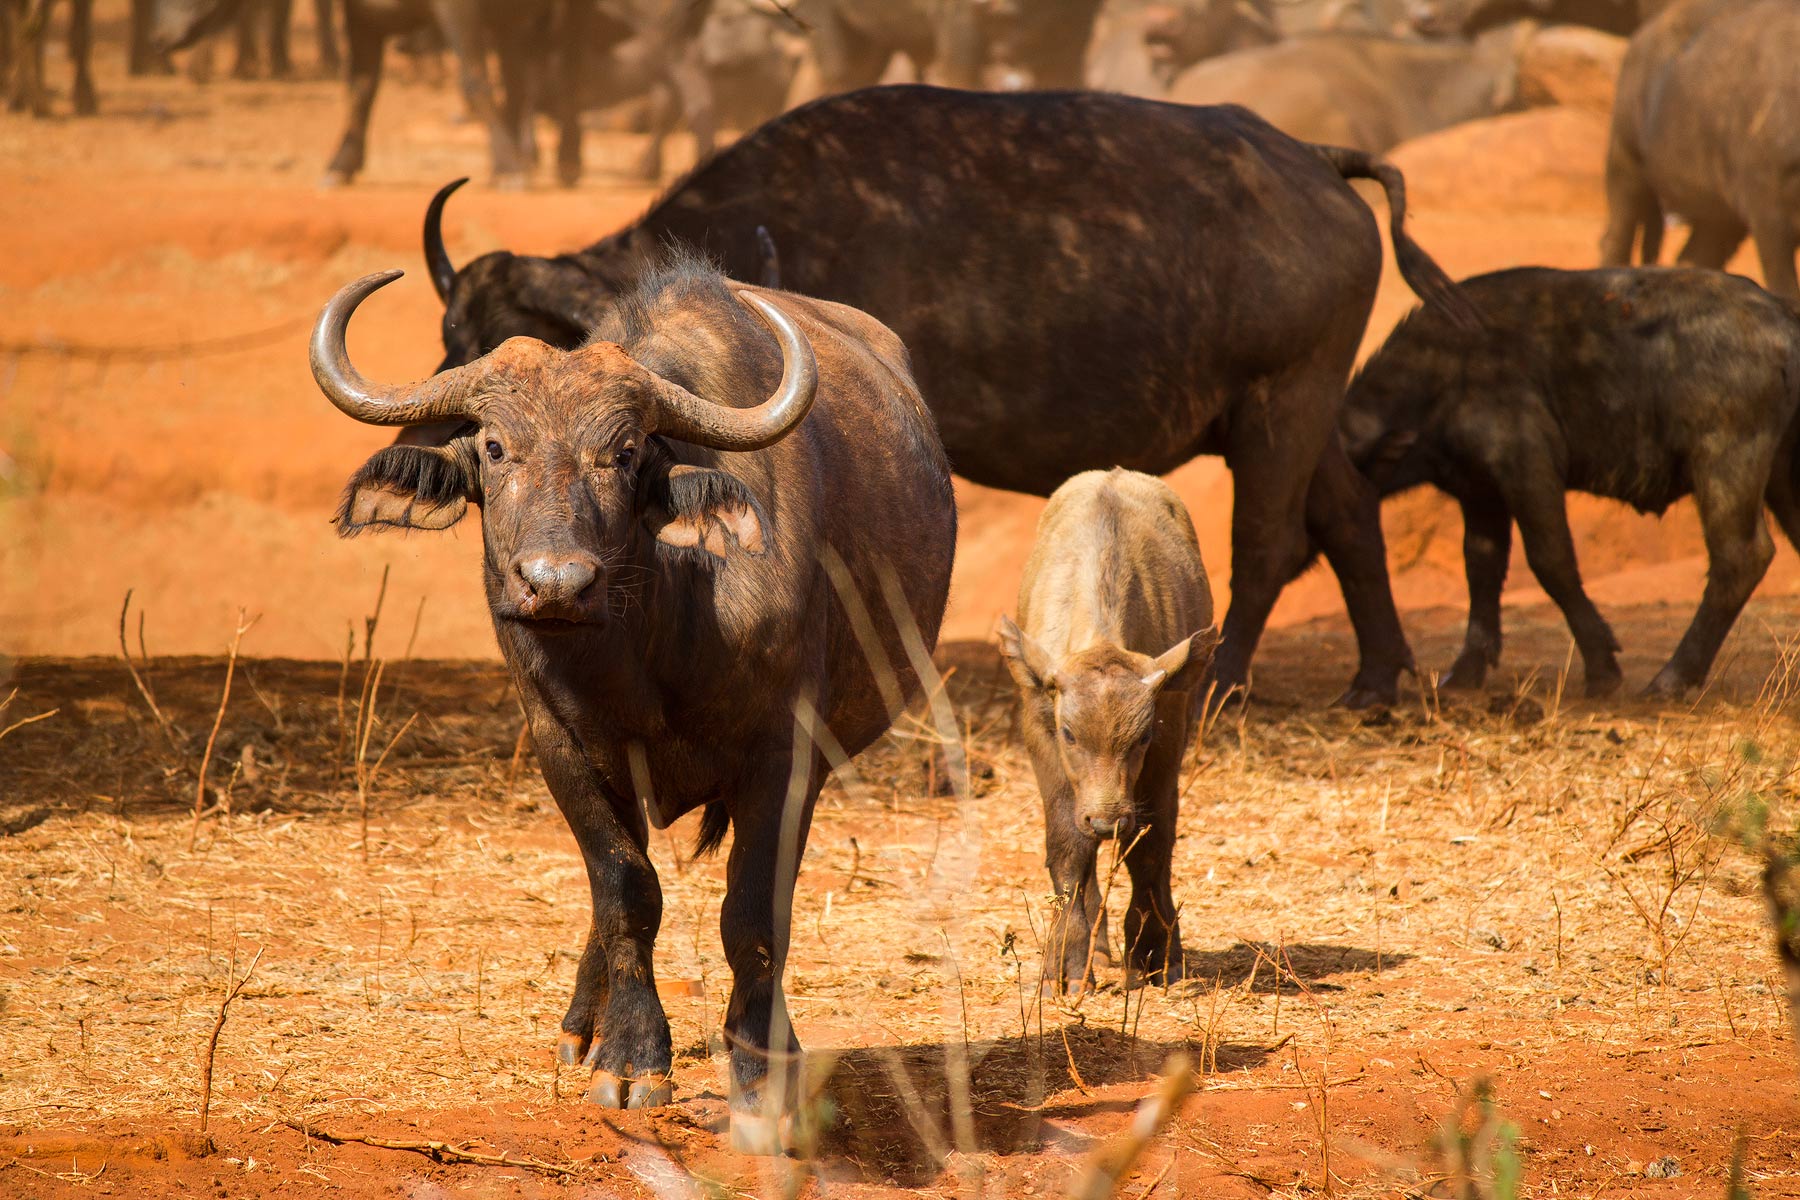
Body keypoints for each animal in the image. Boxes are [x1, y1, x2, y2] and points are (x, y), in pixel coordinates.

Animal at [310, 260, 956, 1152]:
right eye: (495, 447)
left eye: (620, 454)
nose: (554, 584)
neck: (658, 633)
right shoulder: (561, 744)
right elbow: (624, 889)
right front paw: (629, 1056)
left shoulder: (785, 756)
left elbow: (754, 913)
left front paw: (761, 1075)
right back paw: (585, 1027)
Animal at [420, 85, 1478, 707]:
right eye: (455, 351)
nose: (464, 460)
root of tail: (1313, 159)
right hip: (1300, 409)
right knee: (1349, 515)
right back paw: (1377, 681)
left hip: (1282, 404)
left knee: (1267, 540)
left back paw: (1224, 683)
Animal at [1000, 469, 1216, 994]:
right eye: (1069, 733)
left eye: (1141, 737)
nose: (1106, 820)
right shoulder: (1041, 734)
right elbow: (1069, 848)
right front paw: (1067, 964)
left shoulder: (1168, 738)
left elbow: (1152, 847)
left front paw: (1155, 953)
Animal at [1342, 266, 1800, 697]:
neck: (1445, 369)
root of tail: (1782, 316)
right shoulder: (1479, 490)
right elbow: (1481, 567)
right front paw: (1466, 671)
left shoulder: (1528, 468)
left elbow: (1552, 562)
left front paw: (1601, 668)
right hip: (1782, 473)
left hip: (1725, 460)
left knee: (1740, 557)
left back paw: (1671, 679)